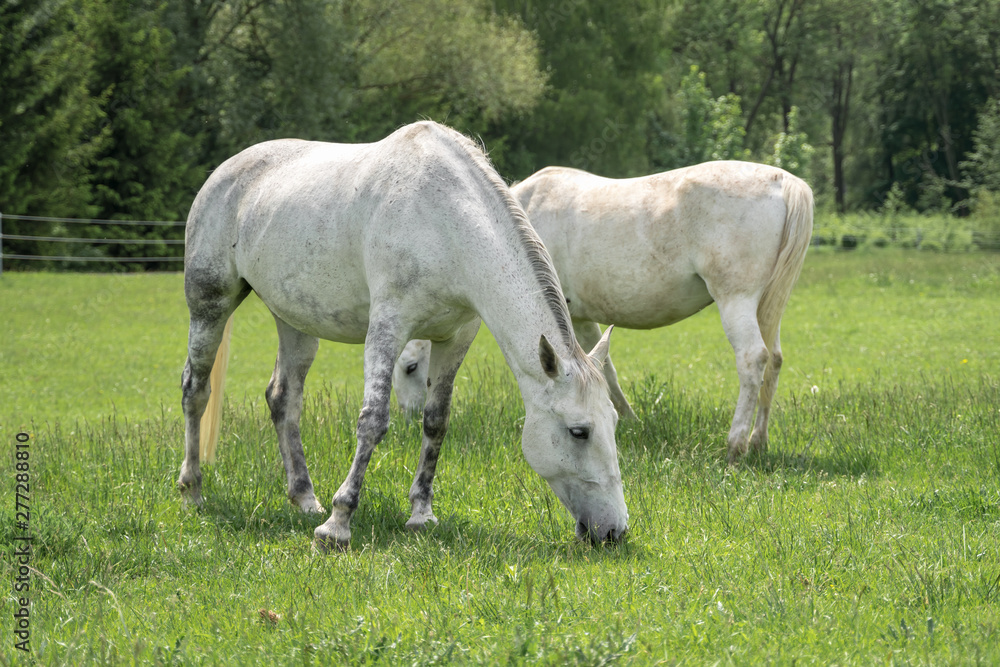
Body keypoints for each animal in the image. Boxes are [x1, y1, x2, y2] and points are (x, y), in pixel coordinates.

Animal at [174, 122, 624, 552]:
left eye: (614, 421)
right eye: (579, 431)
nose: (614, 532)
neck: (444, 220)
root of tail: (225, 172)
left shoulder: (455, 338)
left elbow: (436, 421)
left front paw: (420, 514)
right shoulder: (387, 327)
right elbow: (373, 420)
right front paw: (336, 525)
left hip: (295, 321)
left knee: (283, 399)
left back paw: (304, 498)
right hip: (209, 304)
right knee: (196, 389)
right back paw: (193, 492)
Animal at [392, 162, 812, 464]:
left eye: (410, 368)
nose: (408, 420)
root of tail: (784, 182)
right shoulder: (579, 319)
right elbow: (604, 369)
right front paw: (628, 420)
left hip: (736, 300)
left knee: (753, 359)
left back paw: (736, 445)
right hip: (766, 304)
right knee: (774, 359)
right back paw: (759, 441)